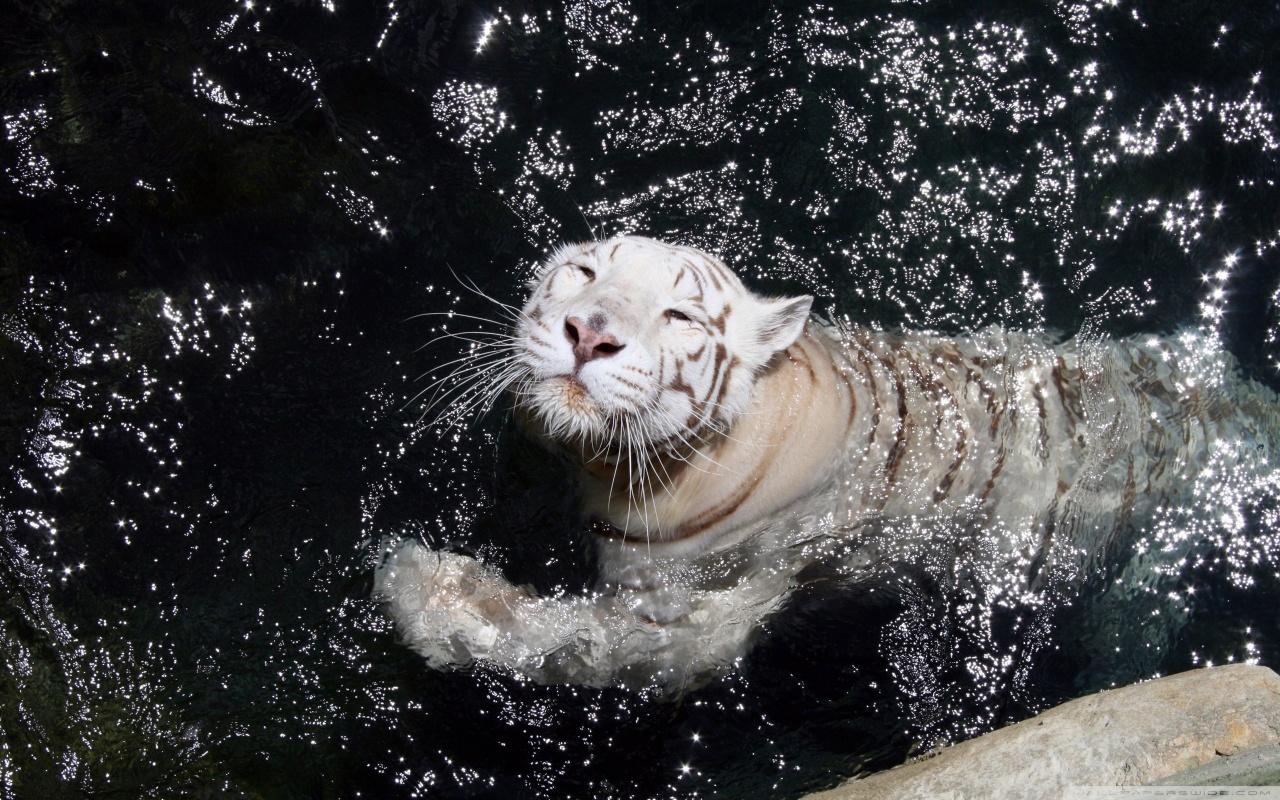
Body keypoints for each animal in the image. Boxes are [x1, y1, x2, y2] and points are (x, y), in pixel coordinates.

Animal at [374, 235, 1280, 690]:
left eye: (678, 315)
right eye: (585, 272)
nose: (589, 333)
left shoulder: (702, 617)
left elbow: (567, 640)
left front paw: (422, 591)